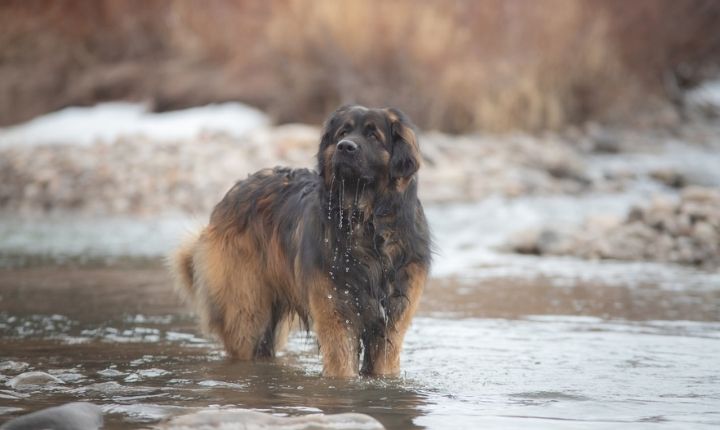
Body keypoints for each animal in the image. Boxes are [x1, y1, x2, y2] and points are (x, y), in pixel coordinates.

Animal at [172, 106, 430, 378]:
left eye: (373, 135)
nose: (345, 147)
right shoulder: (335, 313)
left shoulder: (391, 321)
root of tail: (230, 195)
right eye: (343, 132)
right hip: (246, 309)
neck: (364, 224)